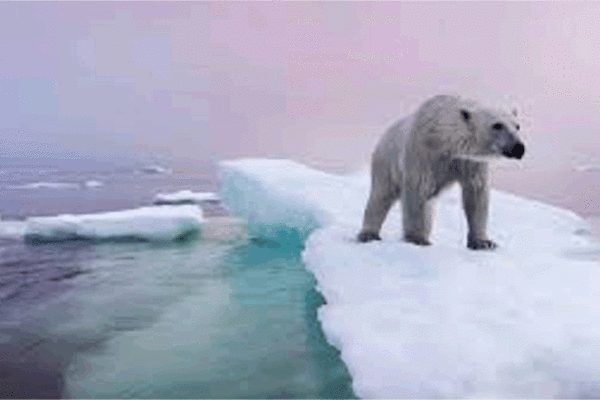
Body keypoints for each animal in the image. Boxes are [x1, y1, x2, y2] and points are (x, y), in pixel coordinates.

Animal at [356, 94, 524, 250]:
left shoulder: (469, 162)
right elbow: (417, 190)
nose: (519, 147)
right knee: (381, 195)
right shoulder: (422, 153)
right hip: (386, 161)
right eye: (497, 125)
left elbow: (476, 192)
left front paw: (483, 242)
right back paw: (368, 234)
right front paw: (417, 239)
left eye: (517, 126)